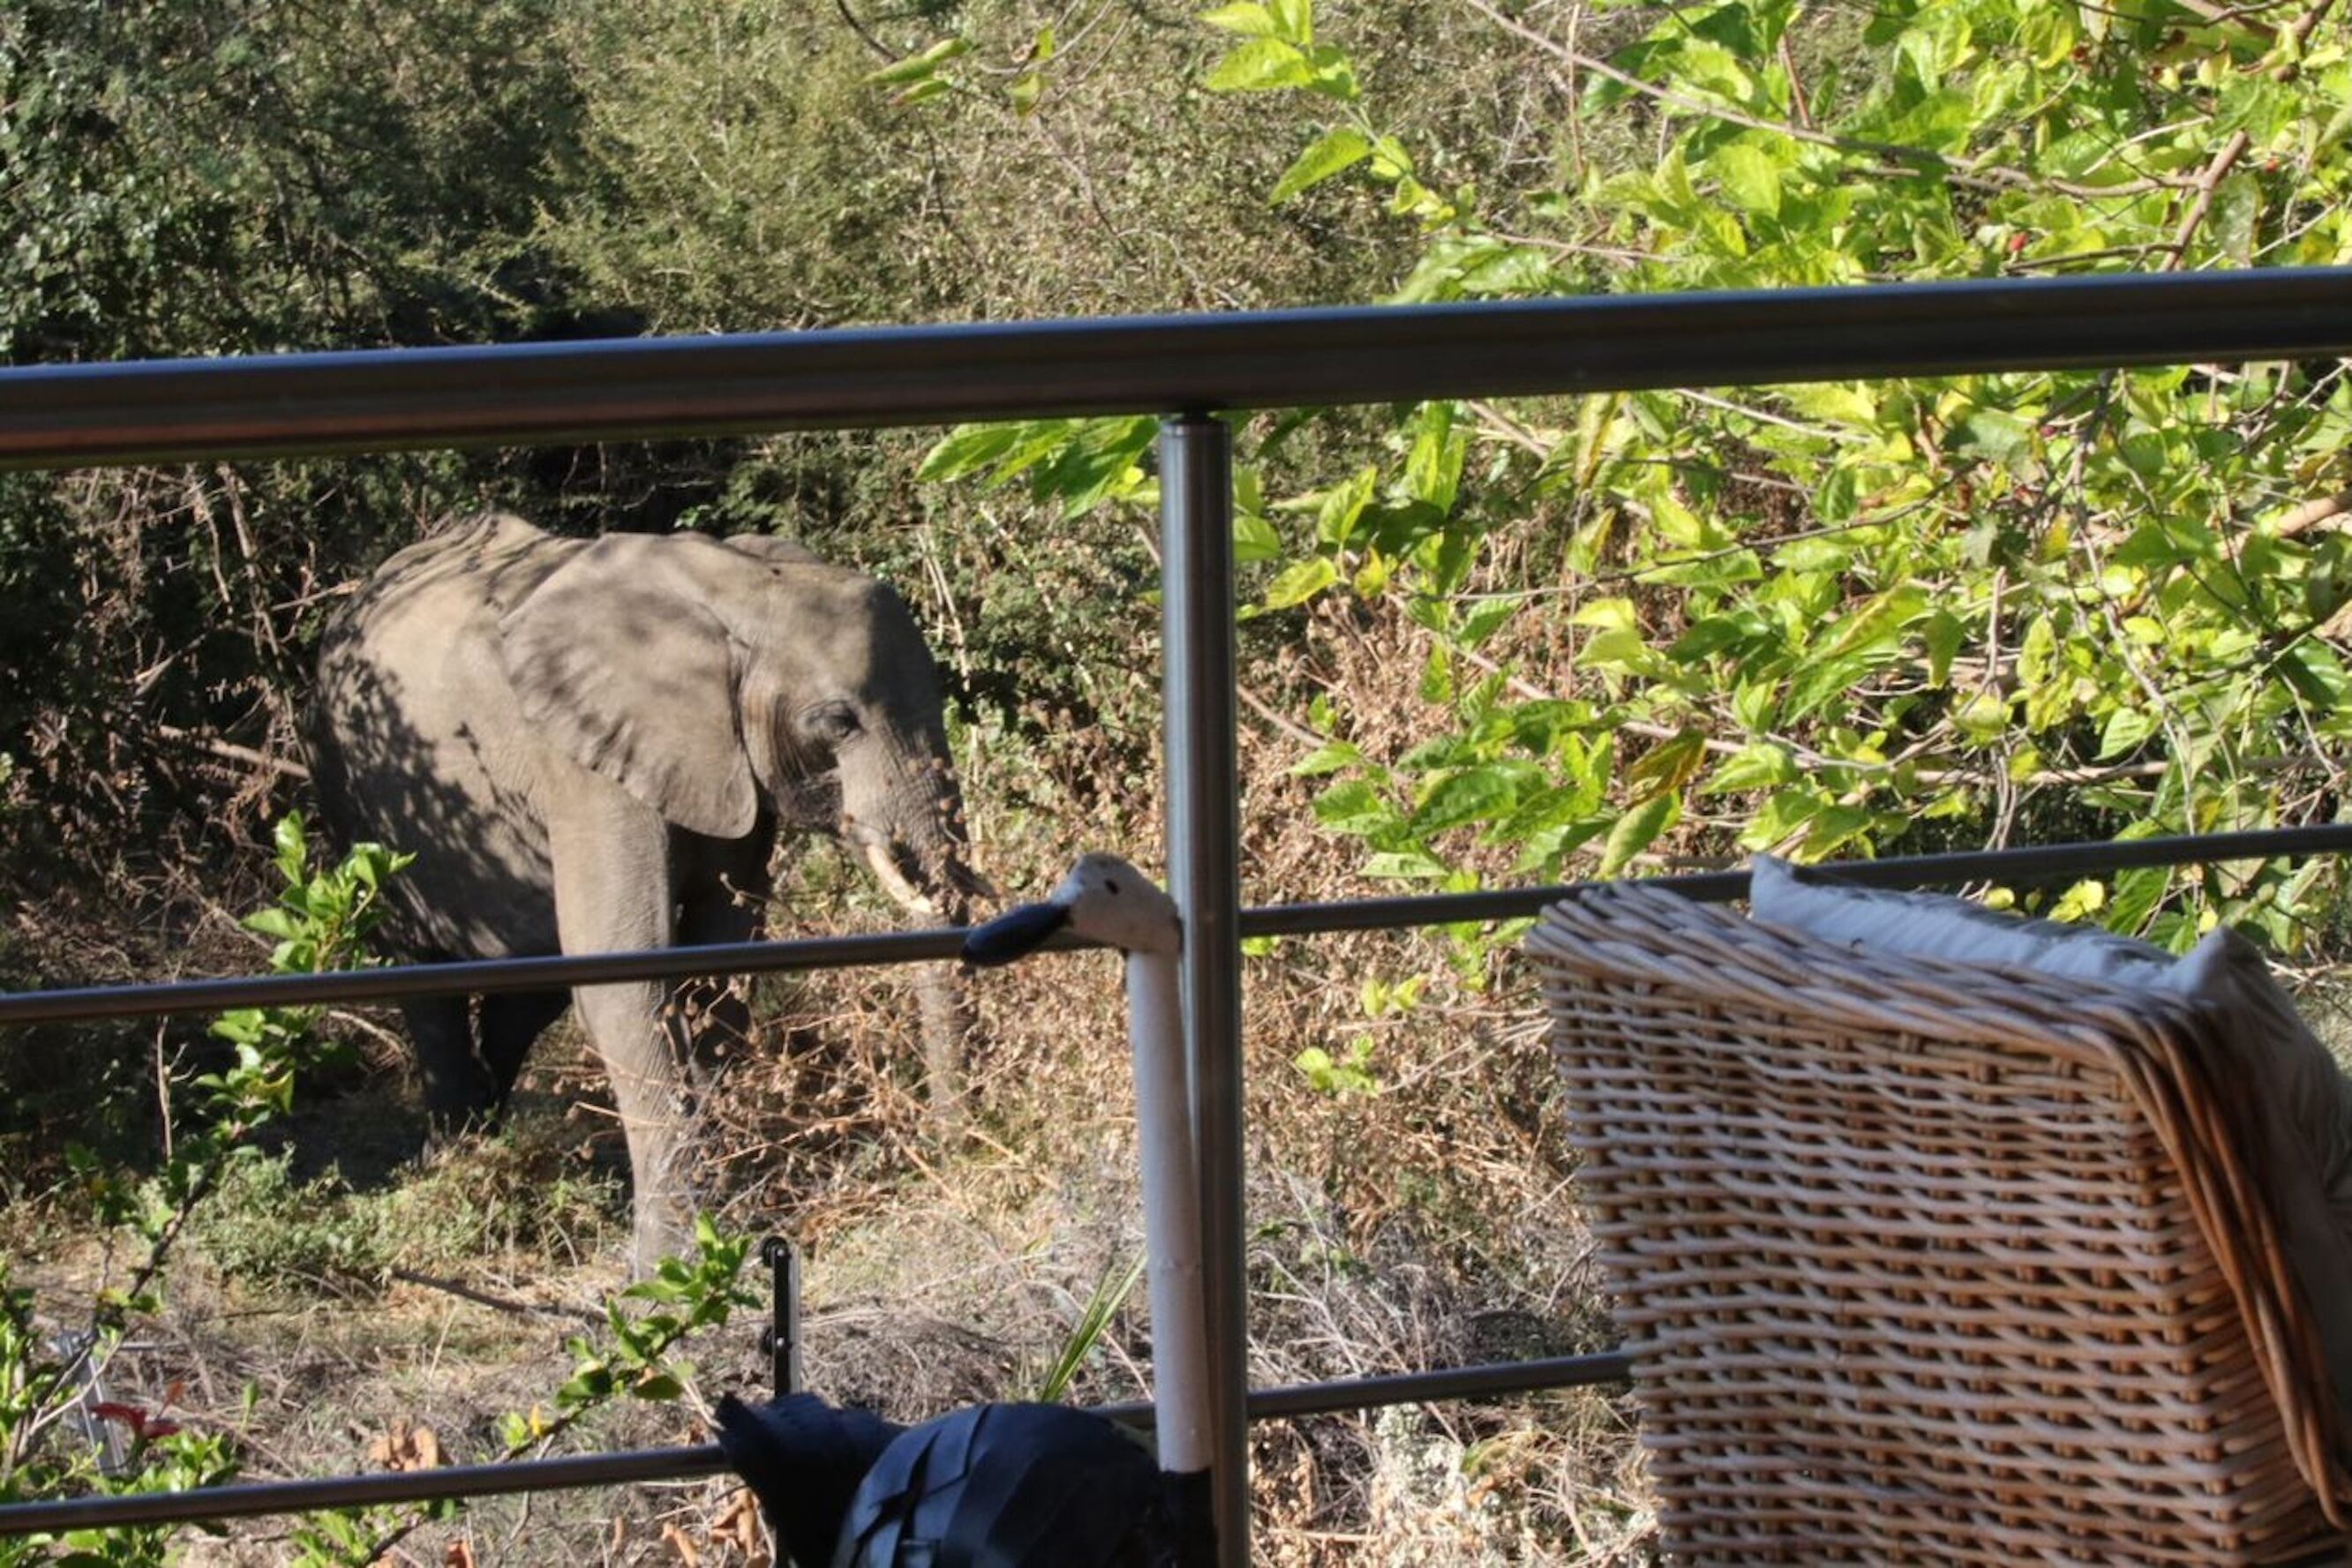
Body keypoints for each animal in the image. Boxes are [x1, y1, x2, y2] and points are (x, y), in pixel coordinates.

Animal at [306, 512, 986, 1270]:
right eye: (839, 722)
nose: (953, 1151)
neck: (743, 593)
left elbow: (720, 974)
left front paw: (728, 1212)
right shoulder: (586, 767)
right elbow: (629, 983)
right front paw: (673, 1261)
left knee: (532, 987)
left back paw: (482, 1132)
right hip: (349, 785)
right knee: (427, 975)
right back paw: (451, 1157)